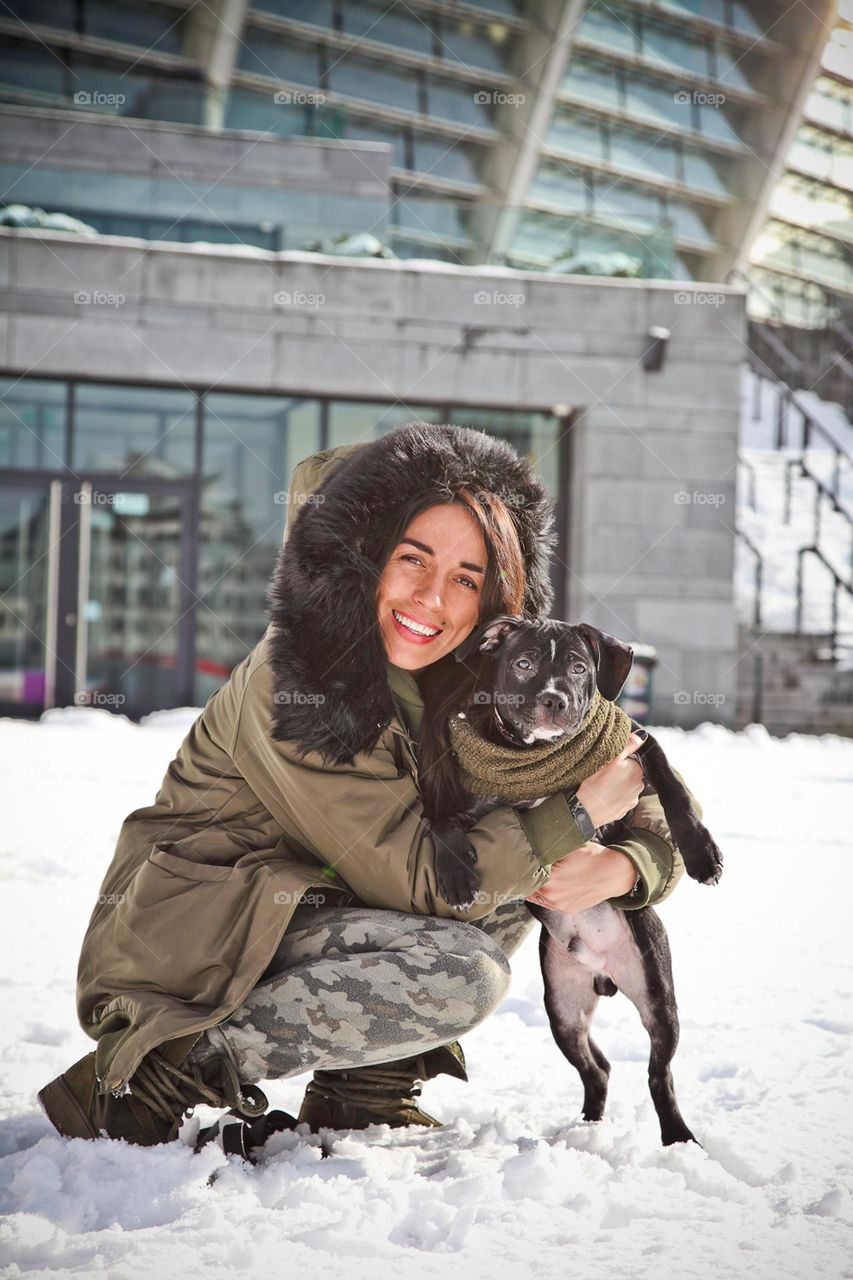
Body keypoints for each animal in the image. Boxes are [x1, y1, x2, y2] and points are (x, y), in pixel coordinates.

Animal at [425, 614, 717, 1146]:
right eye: (523, 664)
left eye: (580, 668)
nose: (555, 699)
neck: (542, 757)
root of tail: (604, 974)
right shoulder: (464, 801)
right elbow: (440, 822)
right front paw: (456, 877)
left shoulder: (638, 741)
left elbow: (672, 784)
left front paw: (702, 853)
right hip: (563, 1006)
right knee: (597, 1068)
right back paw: (585, 1128)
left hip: (657, 993)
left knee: (658, 1073)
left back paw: (677, 1138)